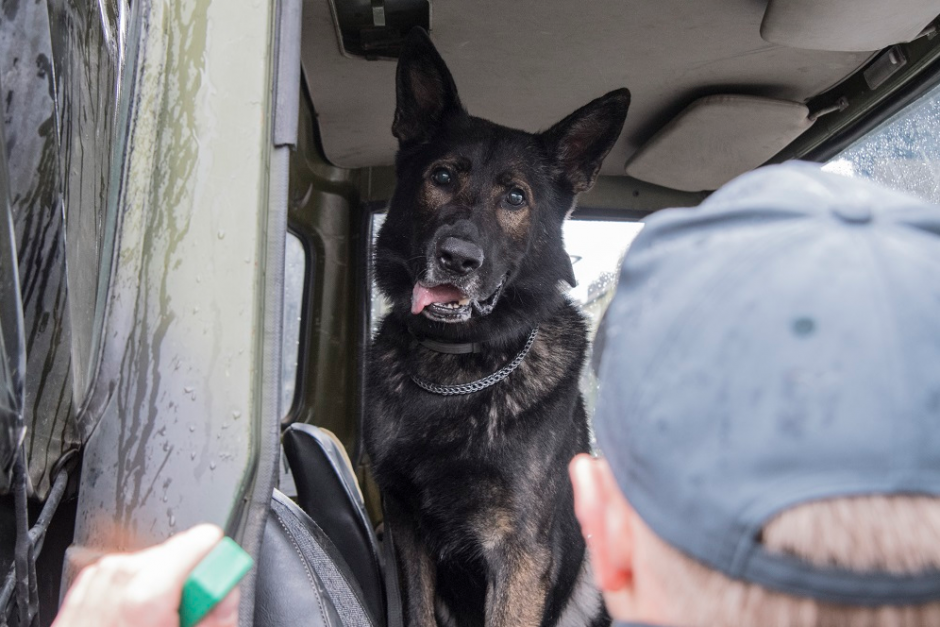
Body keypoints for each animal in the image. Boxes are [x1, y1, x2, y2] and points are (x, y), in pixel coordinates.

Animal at [368, 28, 632, 627]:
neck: (457, 369)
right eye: (442, 177)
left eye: (515, 197)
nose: (457, 259)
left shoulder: (520, 552)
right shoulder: (407, 532)